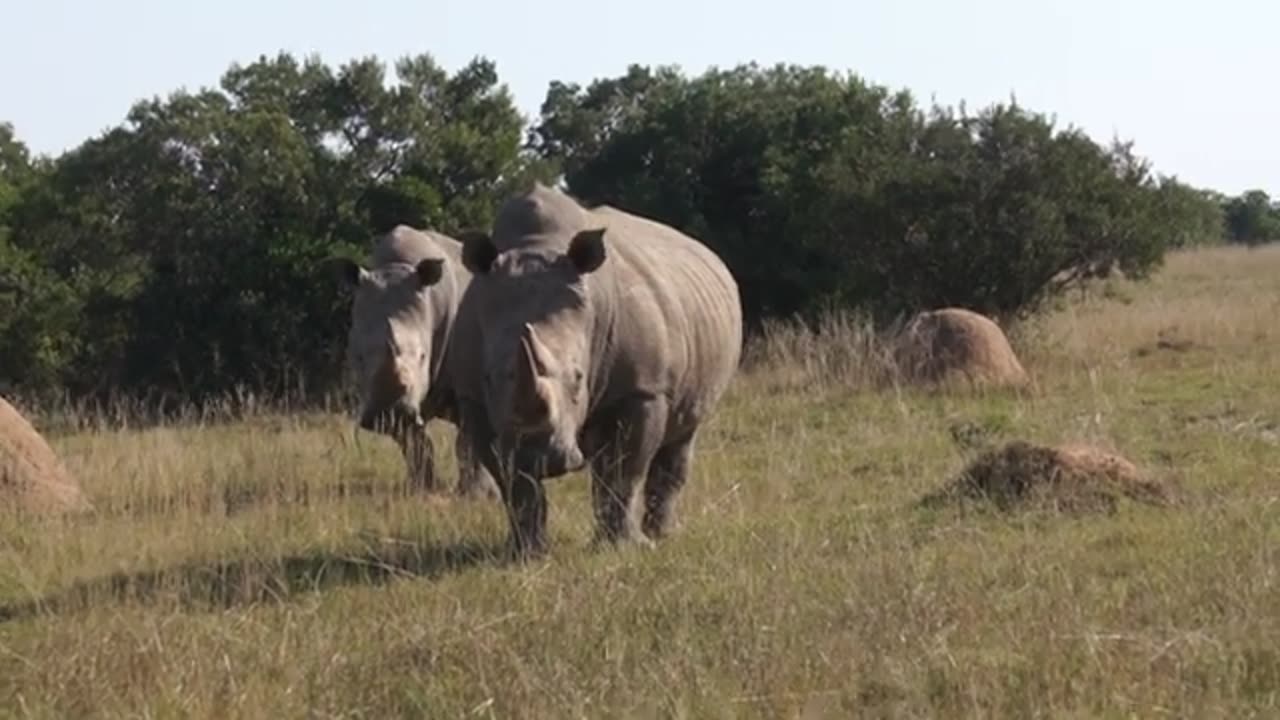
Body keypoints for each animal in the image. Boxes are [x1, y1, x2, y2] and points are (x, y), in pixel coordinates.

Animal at [330, 224, 499, 499]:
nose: (388, 411)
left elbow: (466, 442)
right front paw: (421, 489)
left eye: (423, 356)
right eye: (358, 357)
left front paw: (475, 495)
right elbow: (414, 442)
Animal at [455, 184, 747, 556]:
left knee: (683, 434)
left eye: (579, 378)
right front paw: (528, 553)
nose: (539, 456)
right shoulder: (475, 399)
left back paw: (662, 535)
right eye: (490, 378)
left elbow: (624, 471)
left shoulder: (643, 389)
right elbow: (514, 484)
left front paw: (625, 547)